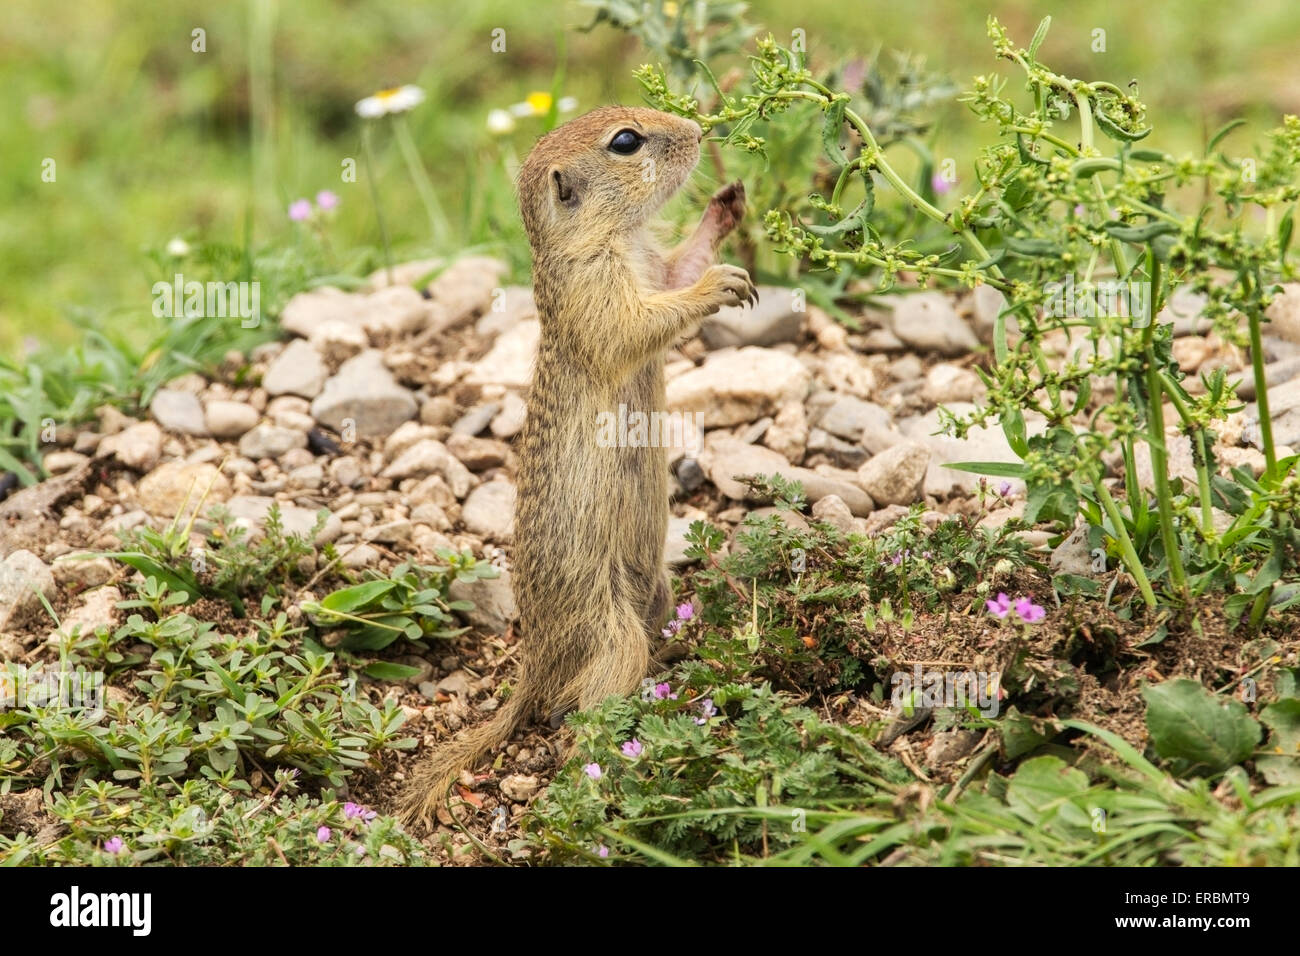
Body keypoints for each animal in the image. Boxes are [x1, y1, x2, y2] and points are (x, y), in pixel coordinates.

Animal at [400, 104, 759, 822]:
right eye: (625, 142)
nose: (699, 131)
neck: (613, 236)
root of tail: (534, 661)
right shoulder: (594, 291)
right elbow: (636, 325)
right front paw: (721, 282)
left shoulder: (651, 266)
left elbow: (677, 272)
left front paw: (726, 206)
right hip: (609, 630)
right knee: (579, 706)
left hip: (655, 593)